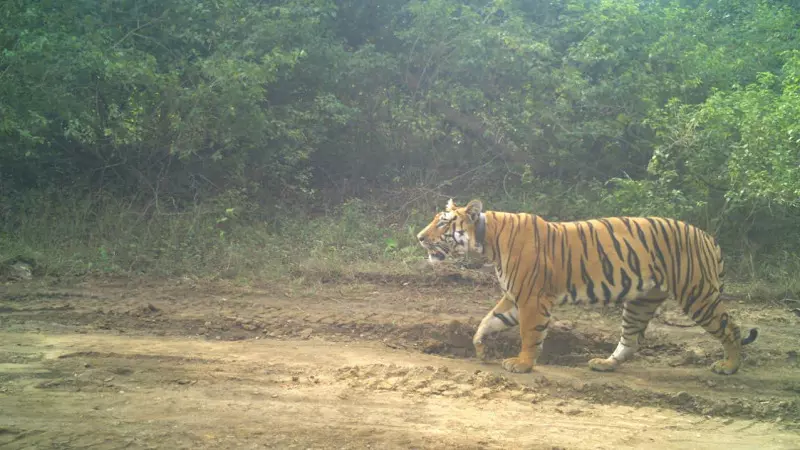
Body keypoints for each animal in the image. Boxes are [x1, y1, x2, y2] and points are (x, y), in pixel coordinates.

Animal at [416, 199, 760, 374]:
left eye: (443, 223)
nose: (419, 237)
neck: (487, 241)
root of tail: (709, 237)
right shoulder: (514, 296)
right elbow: (489, 320)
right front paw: (480, 346)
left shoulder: (531, 297)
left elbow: (529, 334)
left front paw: (522, 364)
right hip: (641, 301)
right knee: (630, 340)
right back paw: (604, 364)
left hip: (697, 294)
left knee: (731, 329)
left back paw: (728, 366)